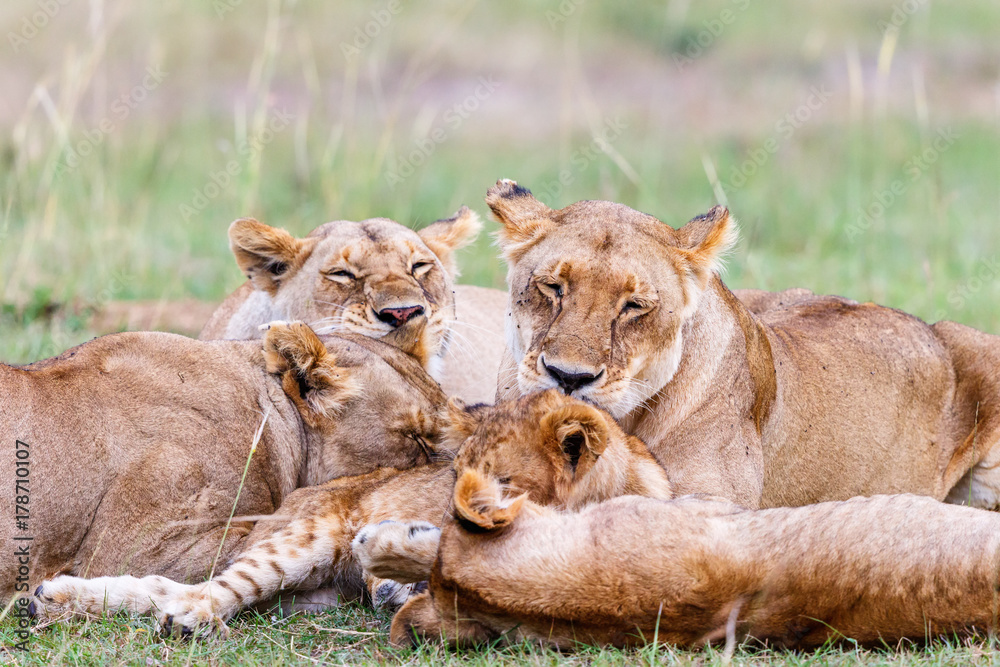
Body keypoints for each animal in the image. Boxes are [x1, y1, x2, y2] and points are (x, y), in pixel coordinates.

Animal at [30, 390, 672, 634]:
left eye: (501, 485)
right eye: (453, 475)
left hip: (311, 593)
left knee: (169, 587)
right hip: (304, 540)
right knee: (203, 591)